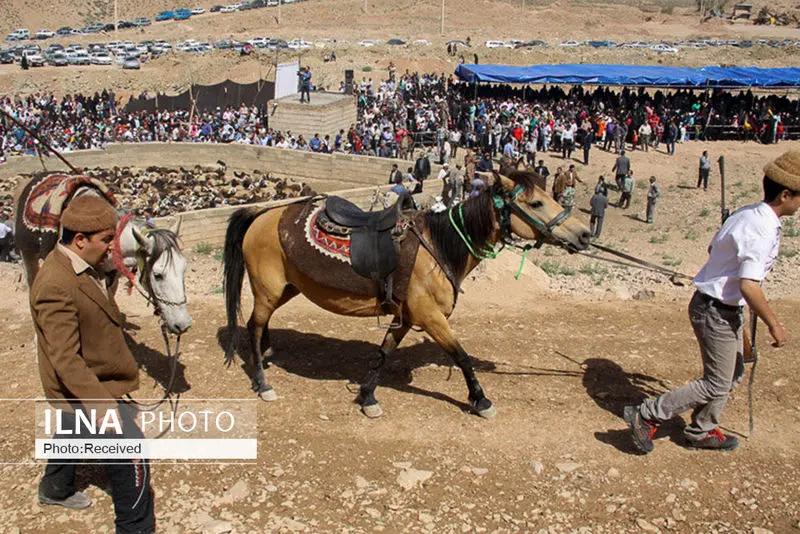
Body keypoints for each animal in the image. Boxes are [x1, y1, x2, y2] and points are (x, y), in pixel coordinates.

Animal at [225, 171, 592, 418]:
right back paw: (262, 382)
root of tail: (261, 215)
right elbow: (461, 356)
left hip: (286, 289)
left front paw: (368, 397)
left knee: (262, 323)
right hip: (268, 289)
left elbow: (385, 352)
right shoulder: (429, 316)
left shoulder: (406, 316)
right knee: (254, 326)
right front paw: (481, 400)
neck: (440, 248)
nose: (585, 234)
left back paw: (267, 357)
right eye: (536, 202)